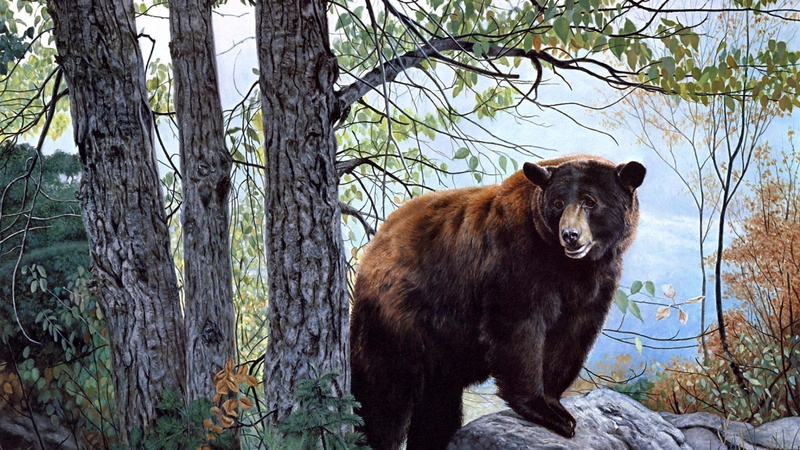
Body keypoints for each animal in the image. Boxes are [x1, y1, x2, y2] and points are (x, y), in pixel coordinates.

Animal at [349, 154, 646, 450]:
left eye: (590, 201)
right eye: (558, 203)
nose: (570, 235)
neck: (569, 266)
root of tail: (376, 243)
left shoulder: (597, 282)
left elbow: (572, 336)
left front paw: (555, 404)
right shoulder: (516, 259)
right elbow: (517, 328)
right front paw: (544, 411)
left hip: (441, 347)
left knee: (438, 405)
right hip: (398, 317)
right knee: (383, 395)